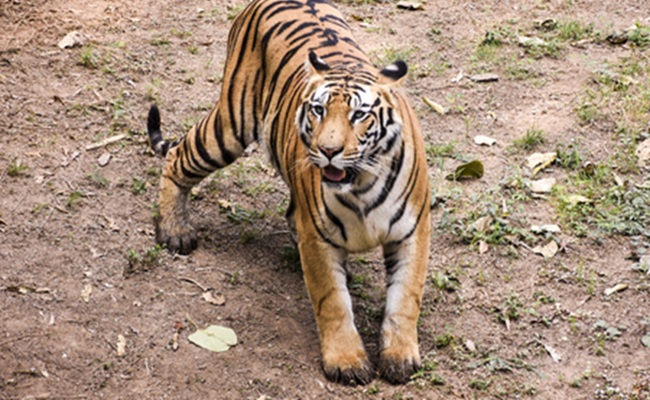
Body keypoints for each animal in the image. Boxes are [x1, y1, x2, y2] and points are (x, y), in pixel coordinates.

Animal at [147, 0, 431, 386]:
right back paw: (175, 231)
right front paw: (347, 361)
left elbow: (405, 299)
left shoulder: (412, 233)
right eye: (319, 109)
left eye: (359, 115)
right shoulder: (318, 238)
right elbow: (332, 302)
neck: (361, 184)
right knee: (178, 155)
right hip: (229, 125)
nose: (328, 150)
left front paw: (399, 357)